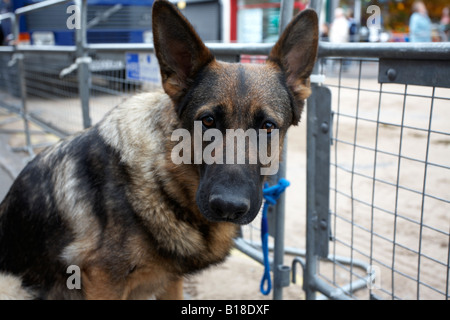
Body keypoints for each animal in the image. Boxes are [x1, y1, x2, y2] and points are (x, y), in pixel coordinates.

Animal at [0, 0, 318, 300]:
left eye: (267, 126)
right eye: (208, 121)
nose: (229, 206)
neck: (163, 178)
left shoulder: (170, 281)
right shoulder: (103, 282)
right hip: (14, 284)